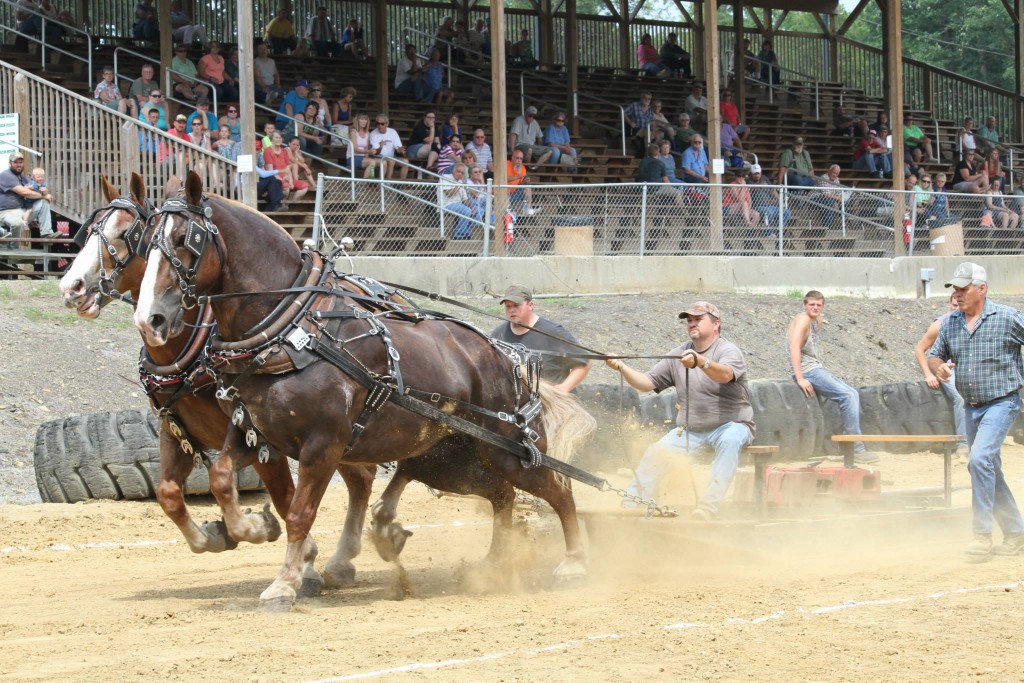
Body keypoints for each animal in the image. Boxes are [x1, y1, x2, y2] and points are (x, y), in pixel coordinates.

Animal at [135, 174, 598, 610]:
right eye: (144, 242)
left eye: (186, 240)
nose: (149, 319)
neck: (290, 329)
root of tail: (505, 355)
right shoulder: (253, 433)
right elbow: (220, 478)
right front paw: (250, 527)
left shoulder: (322, 445)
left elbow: (300, 513)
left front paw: (284, 584)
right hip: (449, 458)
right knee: (502, 495)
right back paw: (488, 564)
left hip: (506, 451)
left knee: (558, 490)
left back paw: (574, 562)